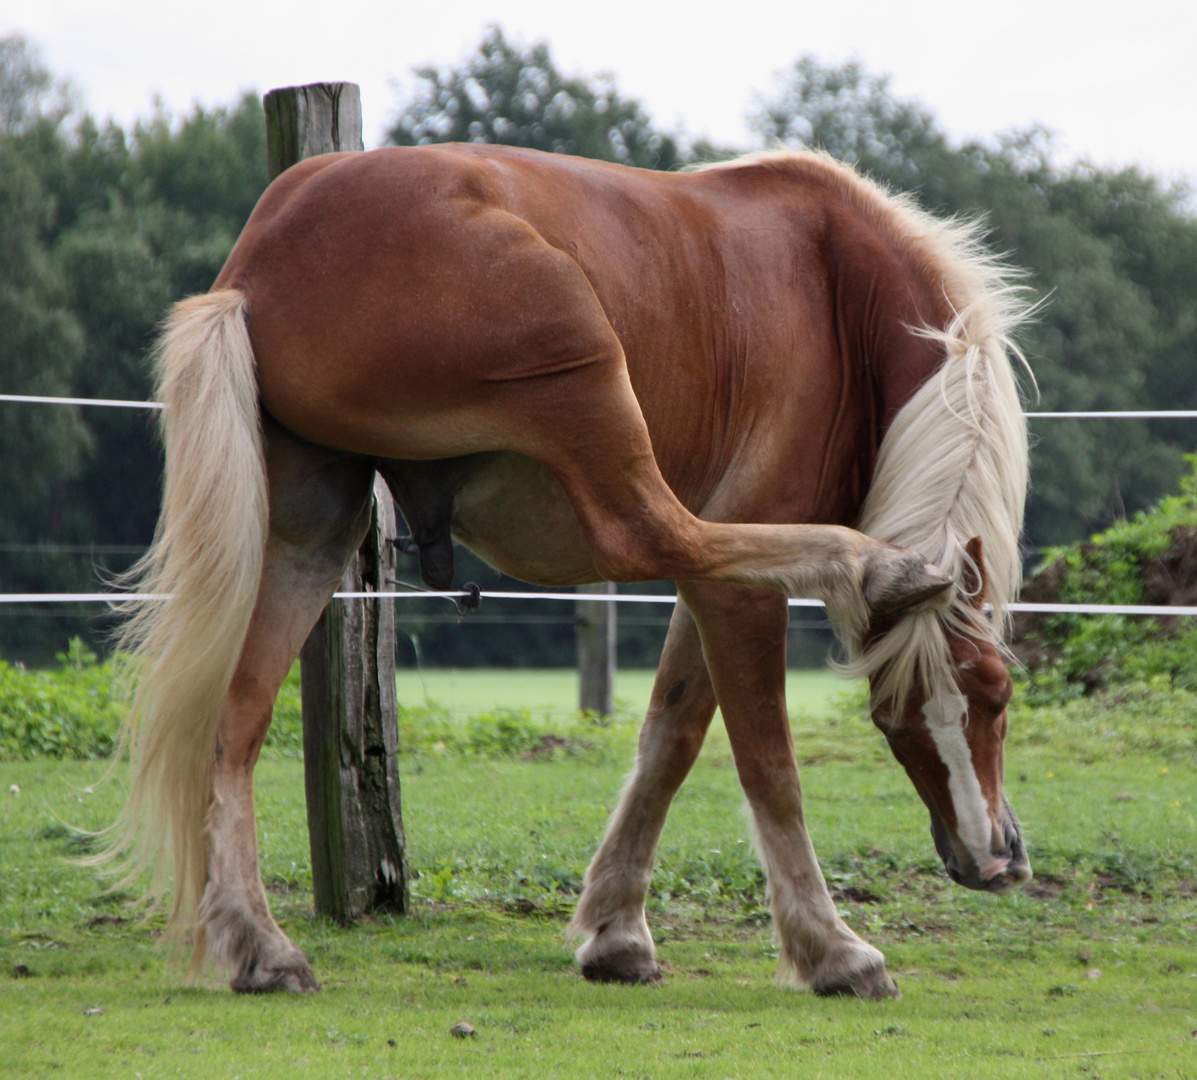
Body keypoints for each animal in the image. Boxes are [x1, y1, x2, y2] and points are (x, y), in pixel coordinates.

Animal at [102, 141, 1034, 996]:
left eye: (994, 697)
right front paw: (831, 949)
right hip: (581, 376)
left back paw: (259, 945)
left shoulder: (717, 605)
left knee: (233, 726)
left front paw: (616, 931)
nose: (994, 860)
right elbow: (767, 764)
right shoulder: (737, 591)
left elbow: (669, 736)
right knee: (651, 530)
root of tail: (262, 262)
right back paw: (869, 565)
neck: (839, 291)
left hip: (311, 533)